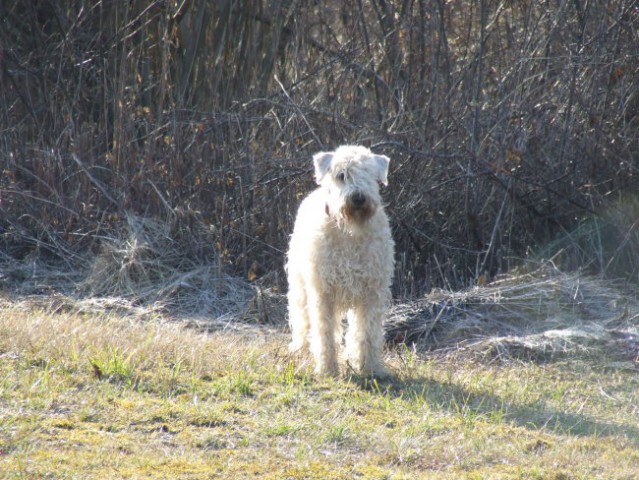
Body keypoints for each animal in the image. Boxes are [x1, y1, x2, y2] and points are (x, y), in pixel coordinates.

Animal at [286, 144, 396, 376]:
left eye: (370, 174)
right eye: (341, 175)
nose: (358, 198)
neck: (350, 234)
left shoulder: (371, 292)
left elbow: (368, 332)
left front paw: (370, 368)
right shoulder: (323, 292)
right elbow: (324, 332)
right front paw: (327, 369)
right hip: (299, 285)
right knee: (301, 318)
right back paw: (299, 348)